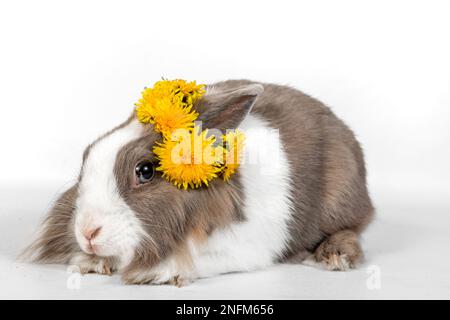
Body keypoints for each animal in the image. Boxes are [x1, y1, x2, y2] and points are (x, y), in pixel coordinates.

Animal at [25, 79, 376, 284]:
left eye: (145, 171)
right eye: (87, 154)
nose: (87, 233)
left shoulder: (242, 247)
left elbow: (193, 260)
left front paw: (158, 272)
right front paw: (87, 262)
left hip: (339, 200)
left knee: (352, 227)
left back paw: (334, 257)